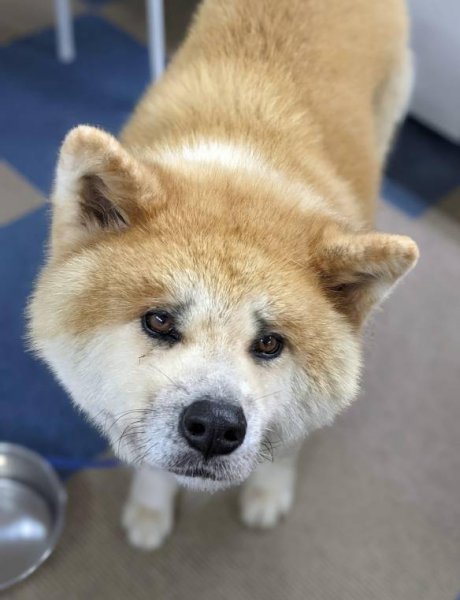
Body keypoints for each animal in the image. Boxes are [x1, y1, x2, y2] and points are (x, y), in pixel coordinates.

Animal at [27, 0, 416, 548]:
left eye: (270, 343)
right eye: (159, 321)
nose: (214, 426)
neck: (246, 155)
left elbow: (287, 448)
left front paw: (268, 493)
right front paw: (151, 507)